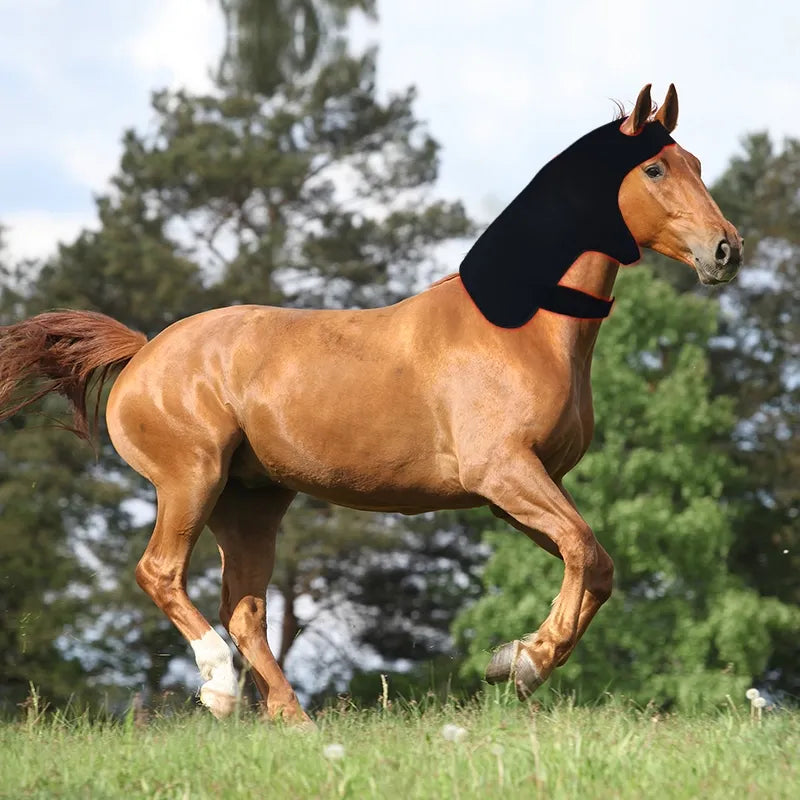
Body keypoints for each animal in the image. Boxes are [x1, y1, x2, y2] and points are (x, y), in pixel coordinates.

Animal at [0, 84, 741, 724]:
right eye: (655, 168)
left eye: (697, 163)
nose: (726, 249)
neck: (522, 328)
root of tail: (144, 352)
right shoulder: (504, 474)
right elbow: (585, 552)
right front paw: (525, 662)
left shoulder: (518, 490)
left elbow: (598, 564)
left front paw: (514, 660)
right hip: (192, 480)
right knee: (163, 575)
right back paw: (219, 688)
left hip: (250, 503)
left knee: (246, 610)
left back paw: (293, 721)